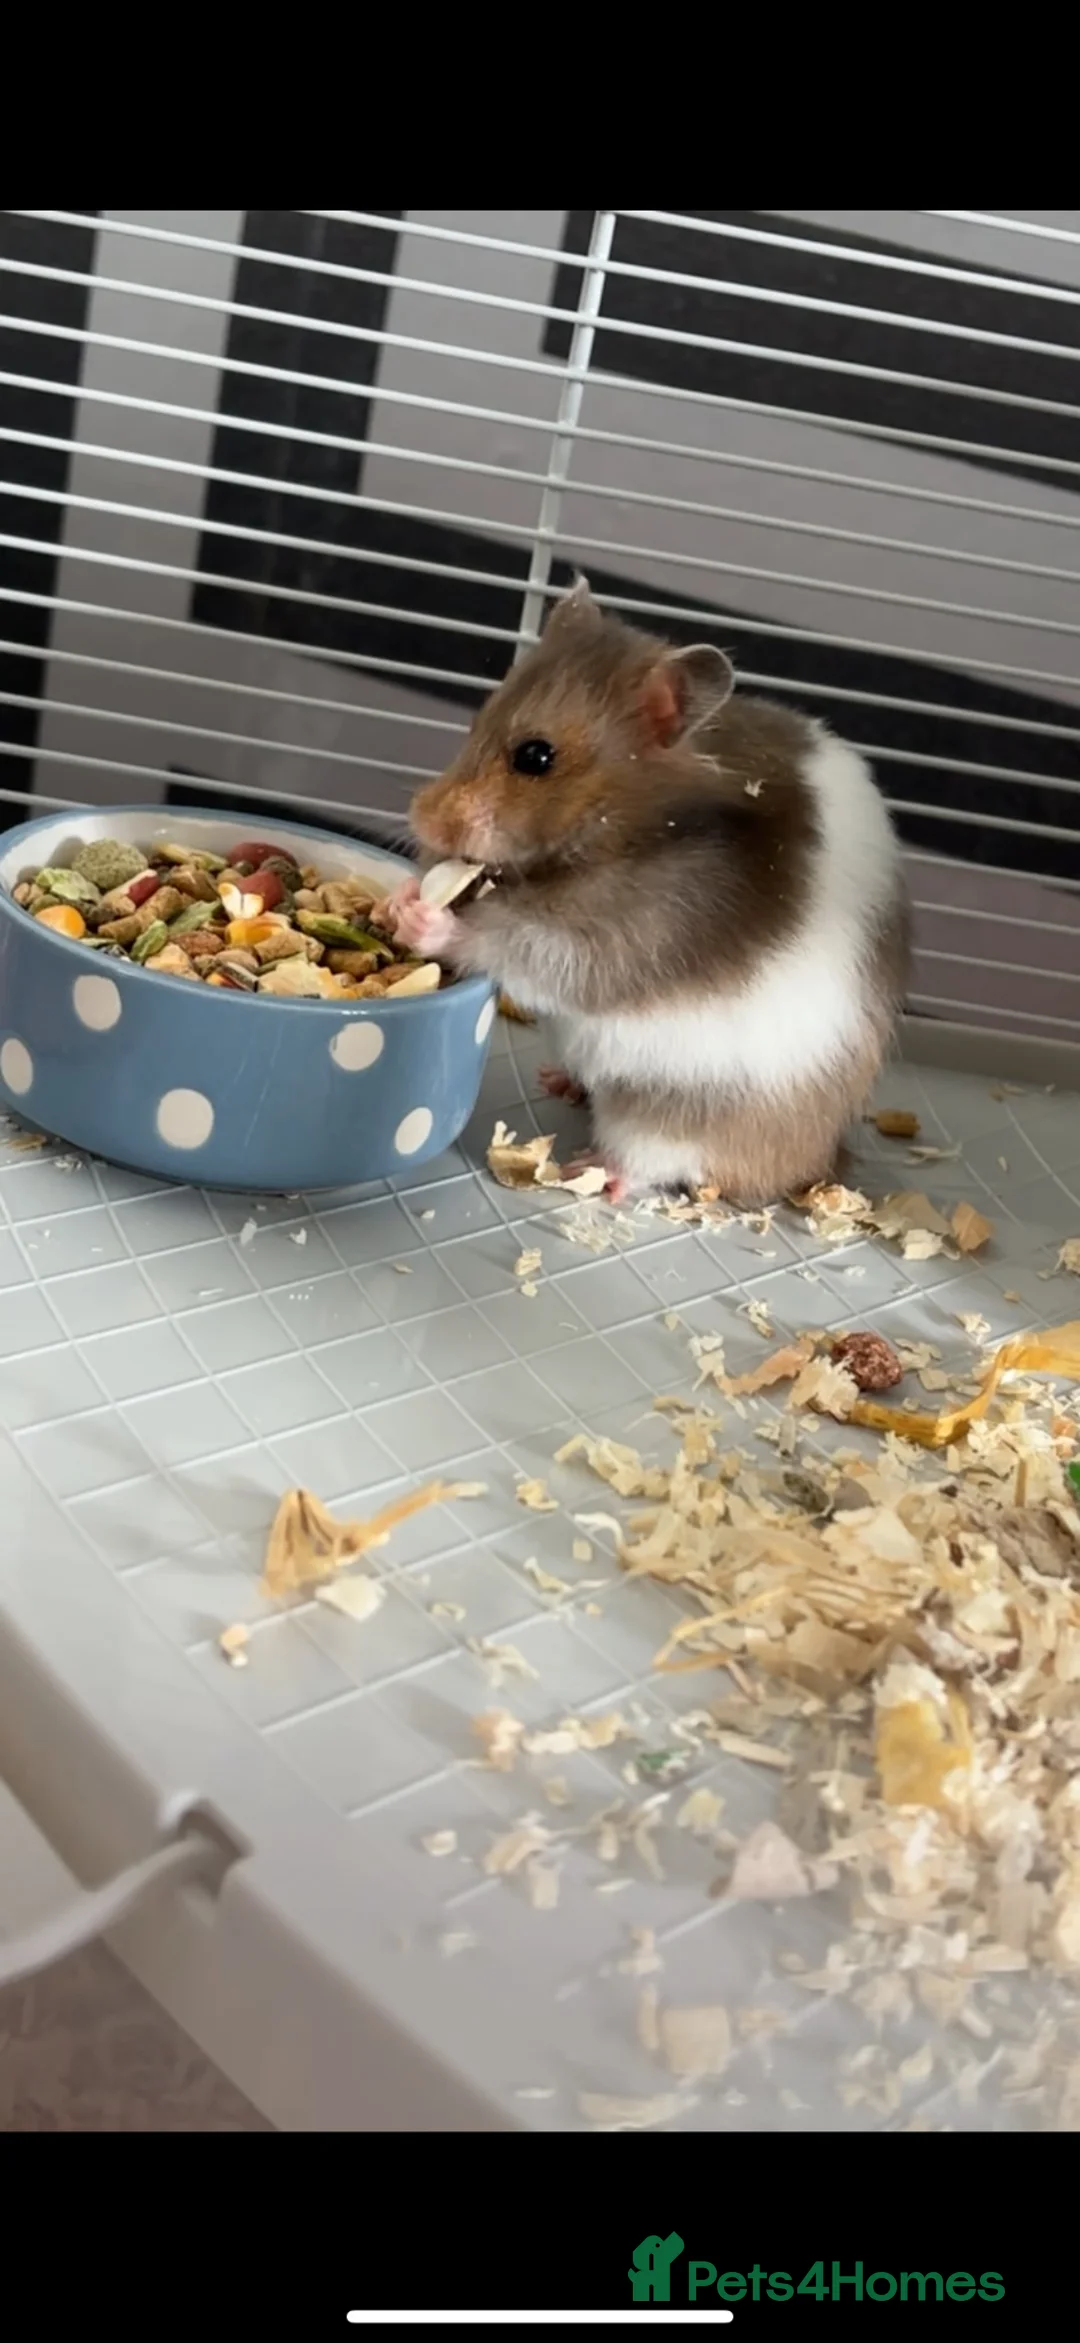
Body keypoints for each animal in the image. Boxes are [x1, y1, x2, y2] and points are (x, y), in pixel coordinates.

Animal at [387, 580, 910, 1206]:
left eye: (535, 756)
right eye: (475, 724)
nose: (420, 819)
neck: (621, 838)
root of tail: (818, 1162)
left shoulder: (630, 936)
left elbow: (523, 946)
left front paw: (427, 921)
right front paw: (400, 897)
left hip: (678, 1113)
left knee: (651, 1158)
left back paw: (592, 1169)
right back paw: (559, 1081)